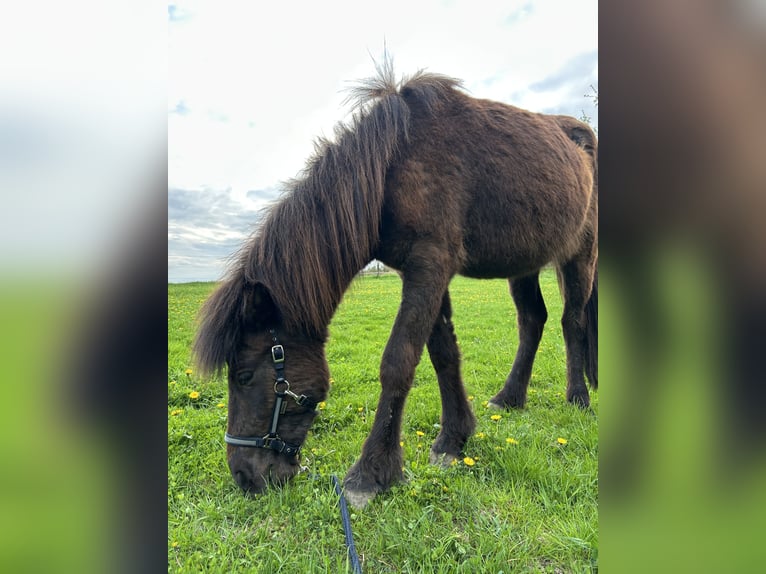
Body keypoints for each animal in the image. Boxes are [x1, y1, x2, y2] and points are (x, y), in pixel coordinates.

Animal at [193, 62, 598, 508]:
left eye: (244, 376)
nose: (244, 476)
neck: (392, 166)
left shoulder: (430, 266)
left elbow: (398, 363)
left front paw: (371, 473)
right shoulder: (422, 272)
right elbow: (443, 354)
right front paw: (454, 438)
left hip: (581, 255)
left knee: (572, 322)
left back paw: (578, 398)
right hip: (524, 263)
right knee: (532, 321)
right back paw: (509, 398)